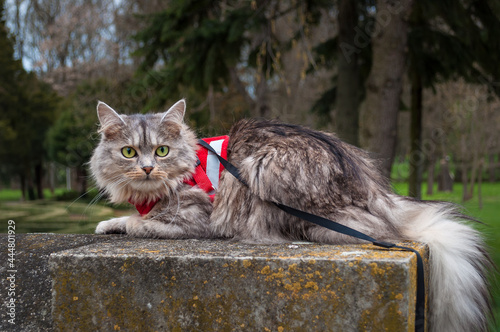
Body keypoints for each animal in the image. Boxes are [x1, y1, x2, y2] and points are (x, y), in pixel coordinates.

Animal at [91, 99, 492, 332]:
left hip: (261, 168)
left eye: (162, 151)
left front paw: (116, 223)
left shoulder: (196, 216)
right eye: (128, 152)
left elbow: (140, 222)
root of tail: (377, 193)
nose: (146, 169)